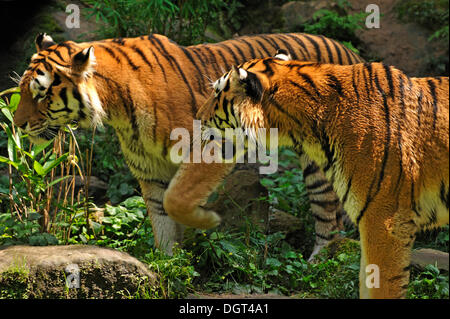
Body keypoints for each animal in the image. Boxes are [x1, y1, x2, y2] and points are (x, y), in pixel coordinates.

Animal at [14, 31, 364, 258]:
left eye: (41, 93)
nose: (17, 124)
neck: (116, 107)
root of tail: (351, 53)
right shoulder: (150, 171)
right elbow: (162, 221)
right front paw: (169, 269)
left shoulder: (213, 143)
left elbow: (176, 200)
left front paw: (209, 221)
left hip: (320, 164)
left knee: (329, 218)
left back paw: (318, 263)